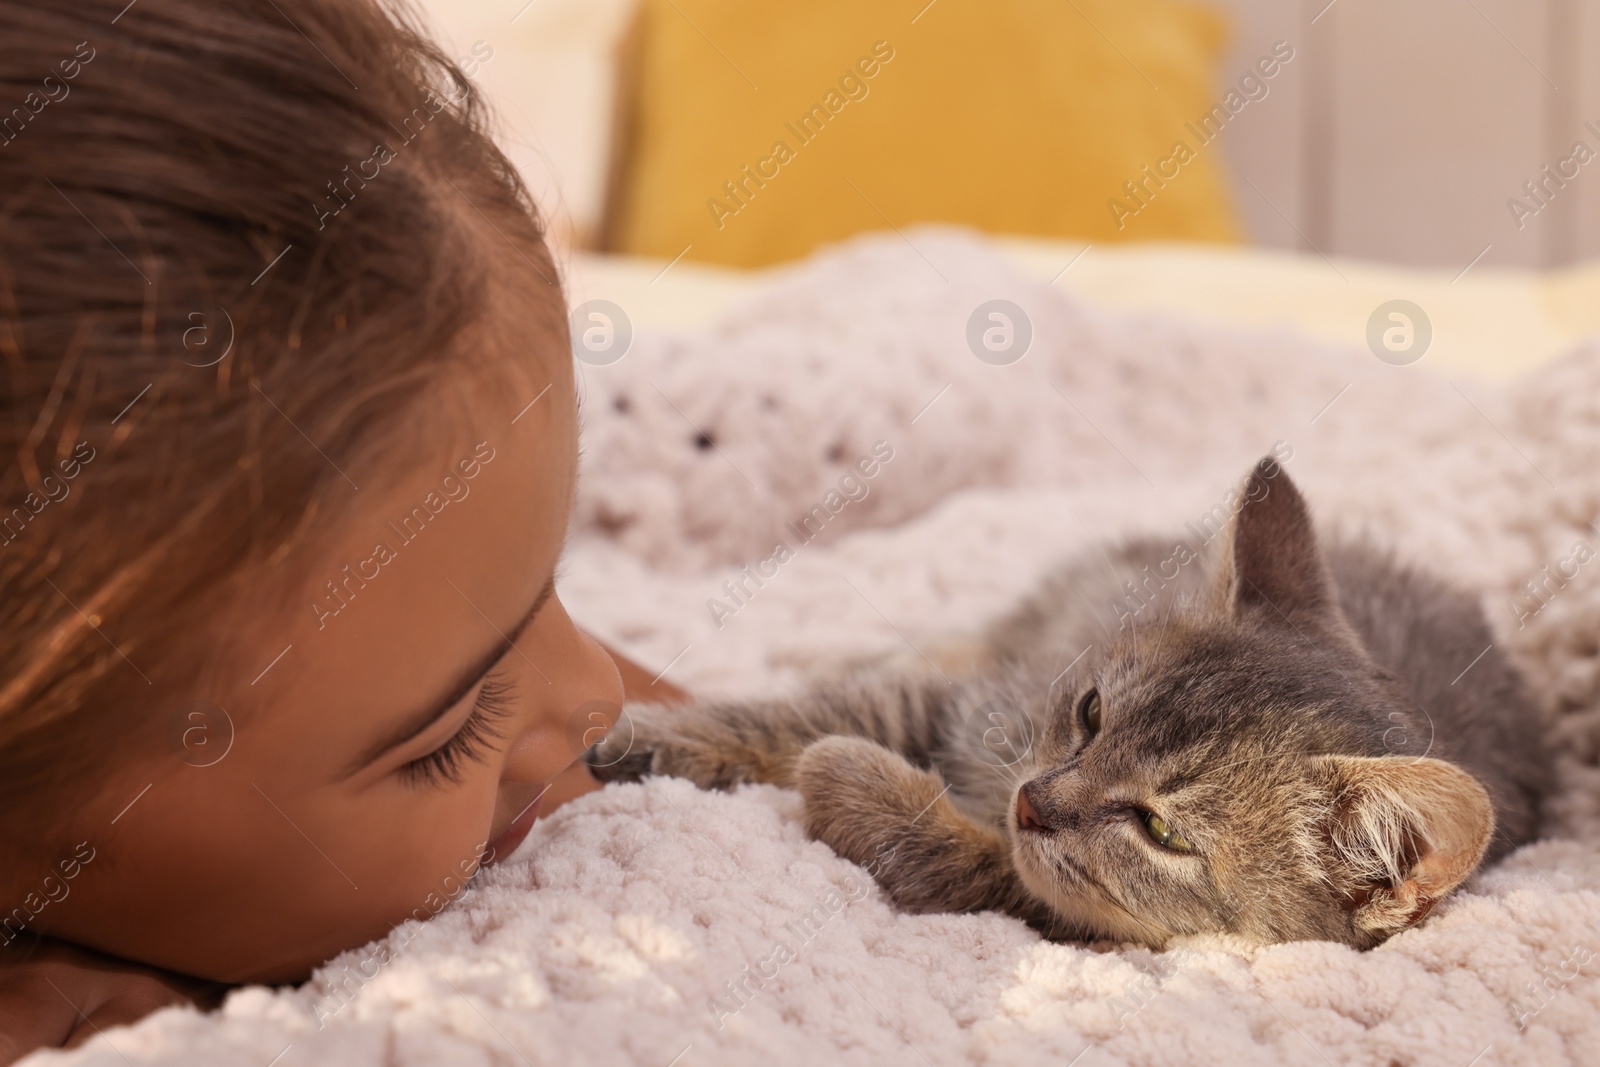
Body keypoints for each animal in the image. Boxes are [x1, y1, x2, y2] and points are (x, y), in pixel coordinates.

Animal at [595, 460, 1542, 953]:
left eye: (1160, 831)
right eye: (1090, 713)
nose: (1032, 800)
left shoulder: (1052, 907)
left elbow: (968, 857)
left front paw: (848, 776)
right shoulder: (979, 706)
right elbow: (806, 712)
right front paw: (644, 739)